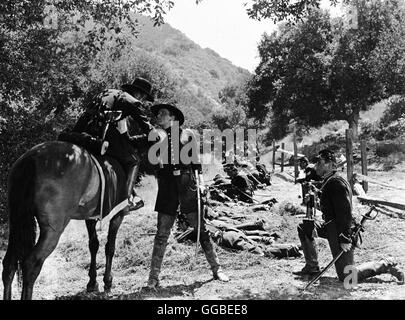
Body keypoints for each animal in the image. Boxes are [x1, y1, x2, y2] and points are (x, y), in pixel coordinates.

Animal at [1, 141, 129, 298]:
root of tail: (31, 159)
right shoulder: (117, 215)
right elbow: (110, 247)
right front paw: (107, 282)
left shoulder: (90, 218)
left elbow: (93, 245)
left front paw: (92, 282)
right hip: (52, 231)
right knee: (31, 264)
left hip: (16, 223)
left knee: (9, 264)